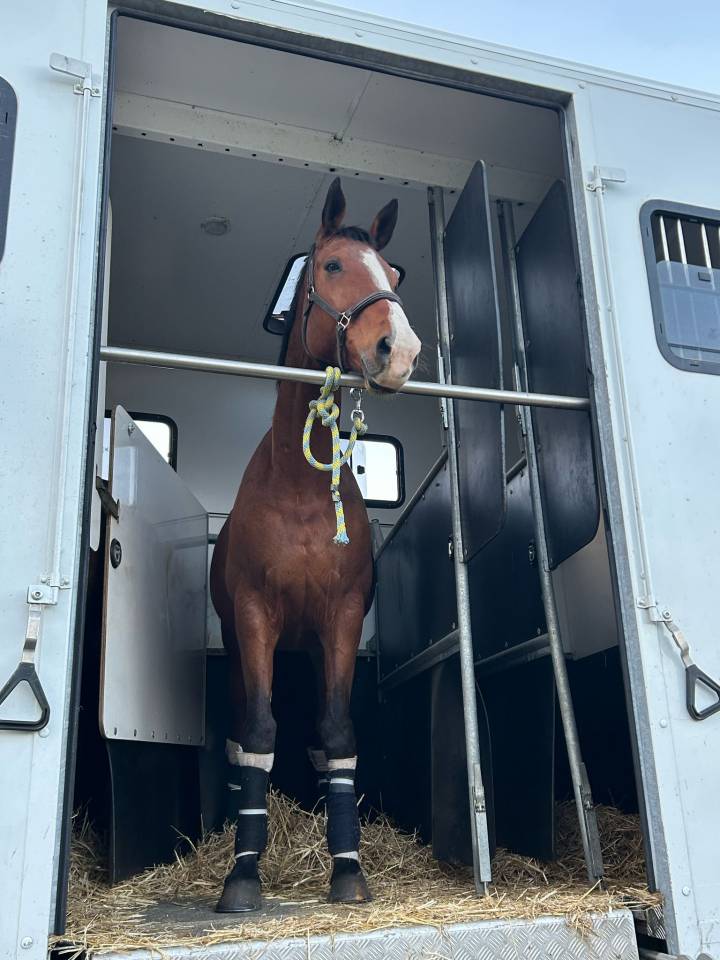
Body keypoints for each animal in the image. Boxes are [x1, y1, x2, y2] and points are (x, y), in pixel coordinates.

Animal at [209, 178, 421, 912]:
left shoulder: (342, 619)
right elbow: (259, 735)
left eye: (393, 275)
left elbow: (337, 735)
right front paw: (243, 874)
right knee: (240, 735)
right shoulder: (254, 617)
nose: (399, 350)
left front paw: (348, 867)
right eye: (330, 265)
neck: (302, 490)